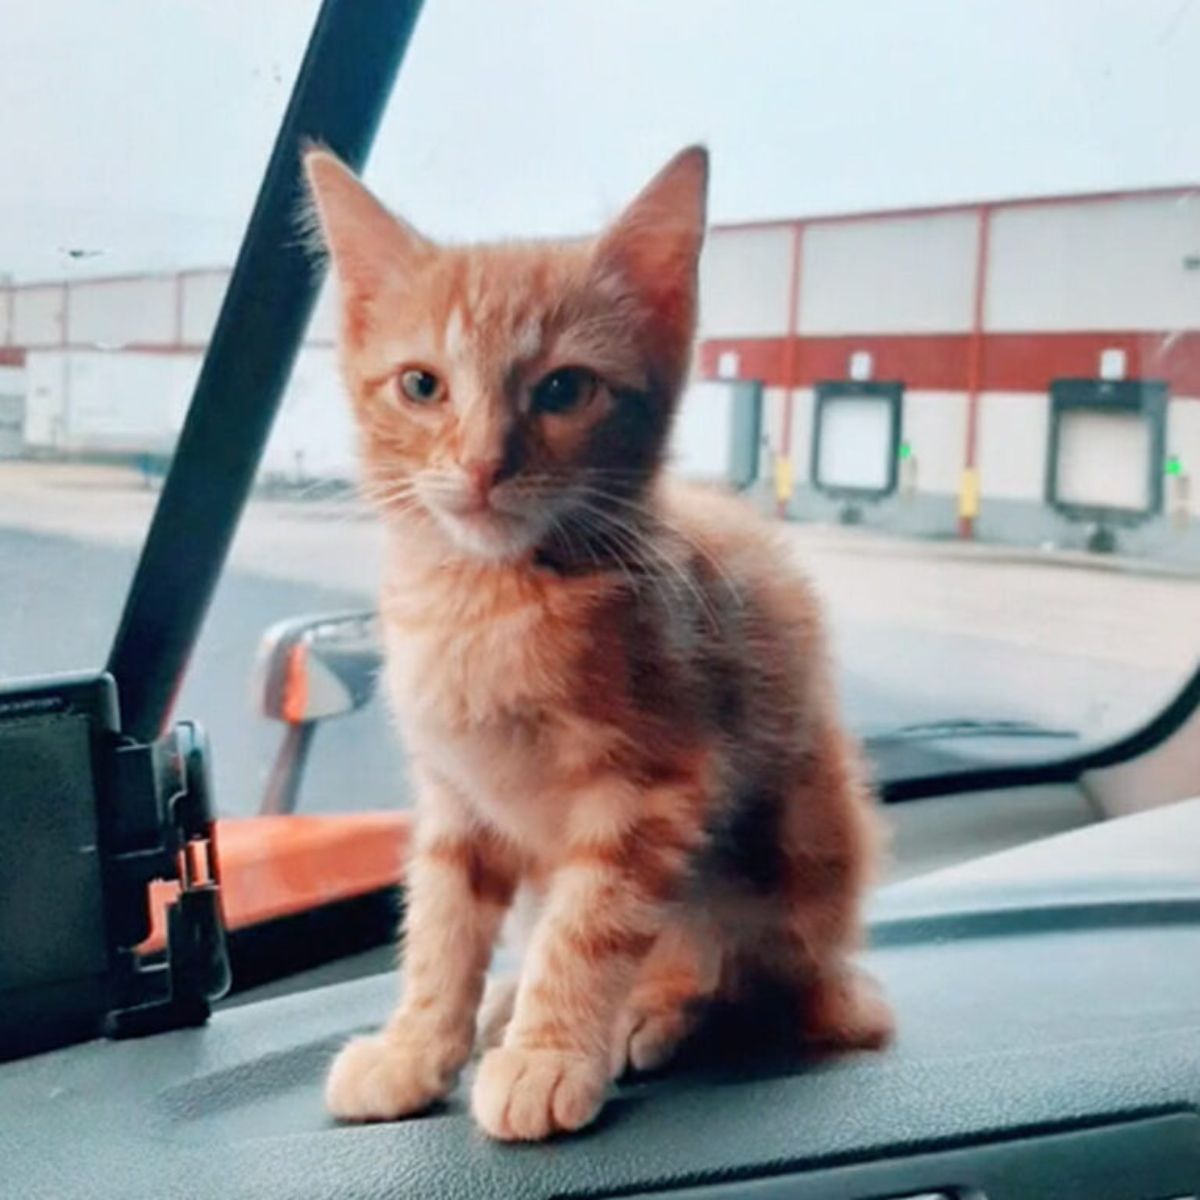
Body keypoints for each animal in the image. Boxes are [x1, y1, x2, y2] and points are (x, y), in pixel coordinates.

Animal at [304, 145, 888, 1137]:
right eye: (422, 385)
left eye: (564, 389)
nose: (481, 465)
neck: (481, 602)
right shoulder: (455, 796)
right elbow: (443, 920)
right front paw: (416, 1045)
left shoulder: (655, 784)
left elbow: (589, 923)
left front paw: (548, 1053)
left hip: (783, 859)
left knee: (742, 978)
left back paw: (650, 1011)